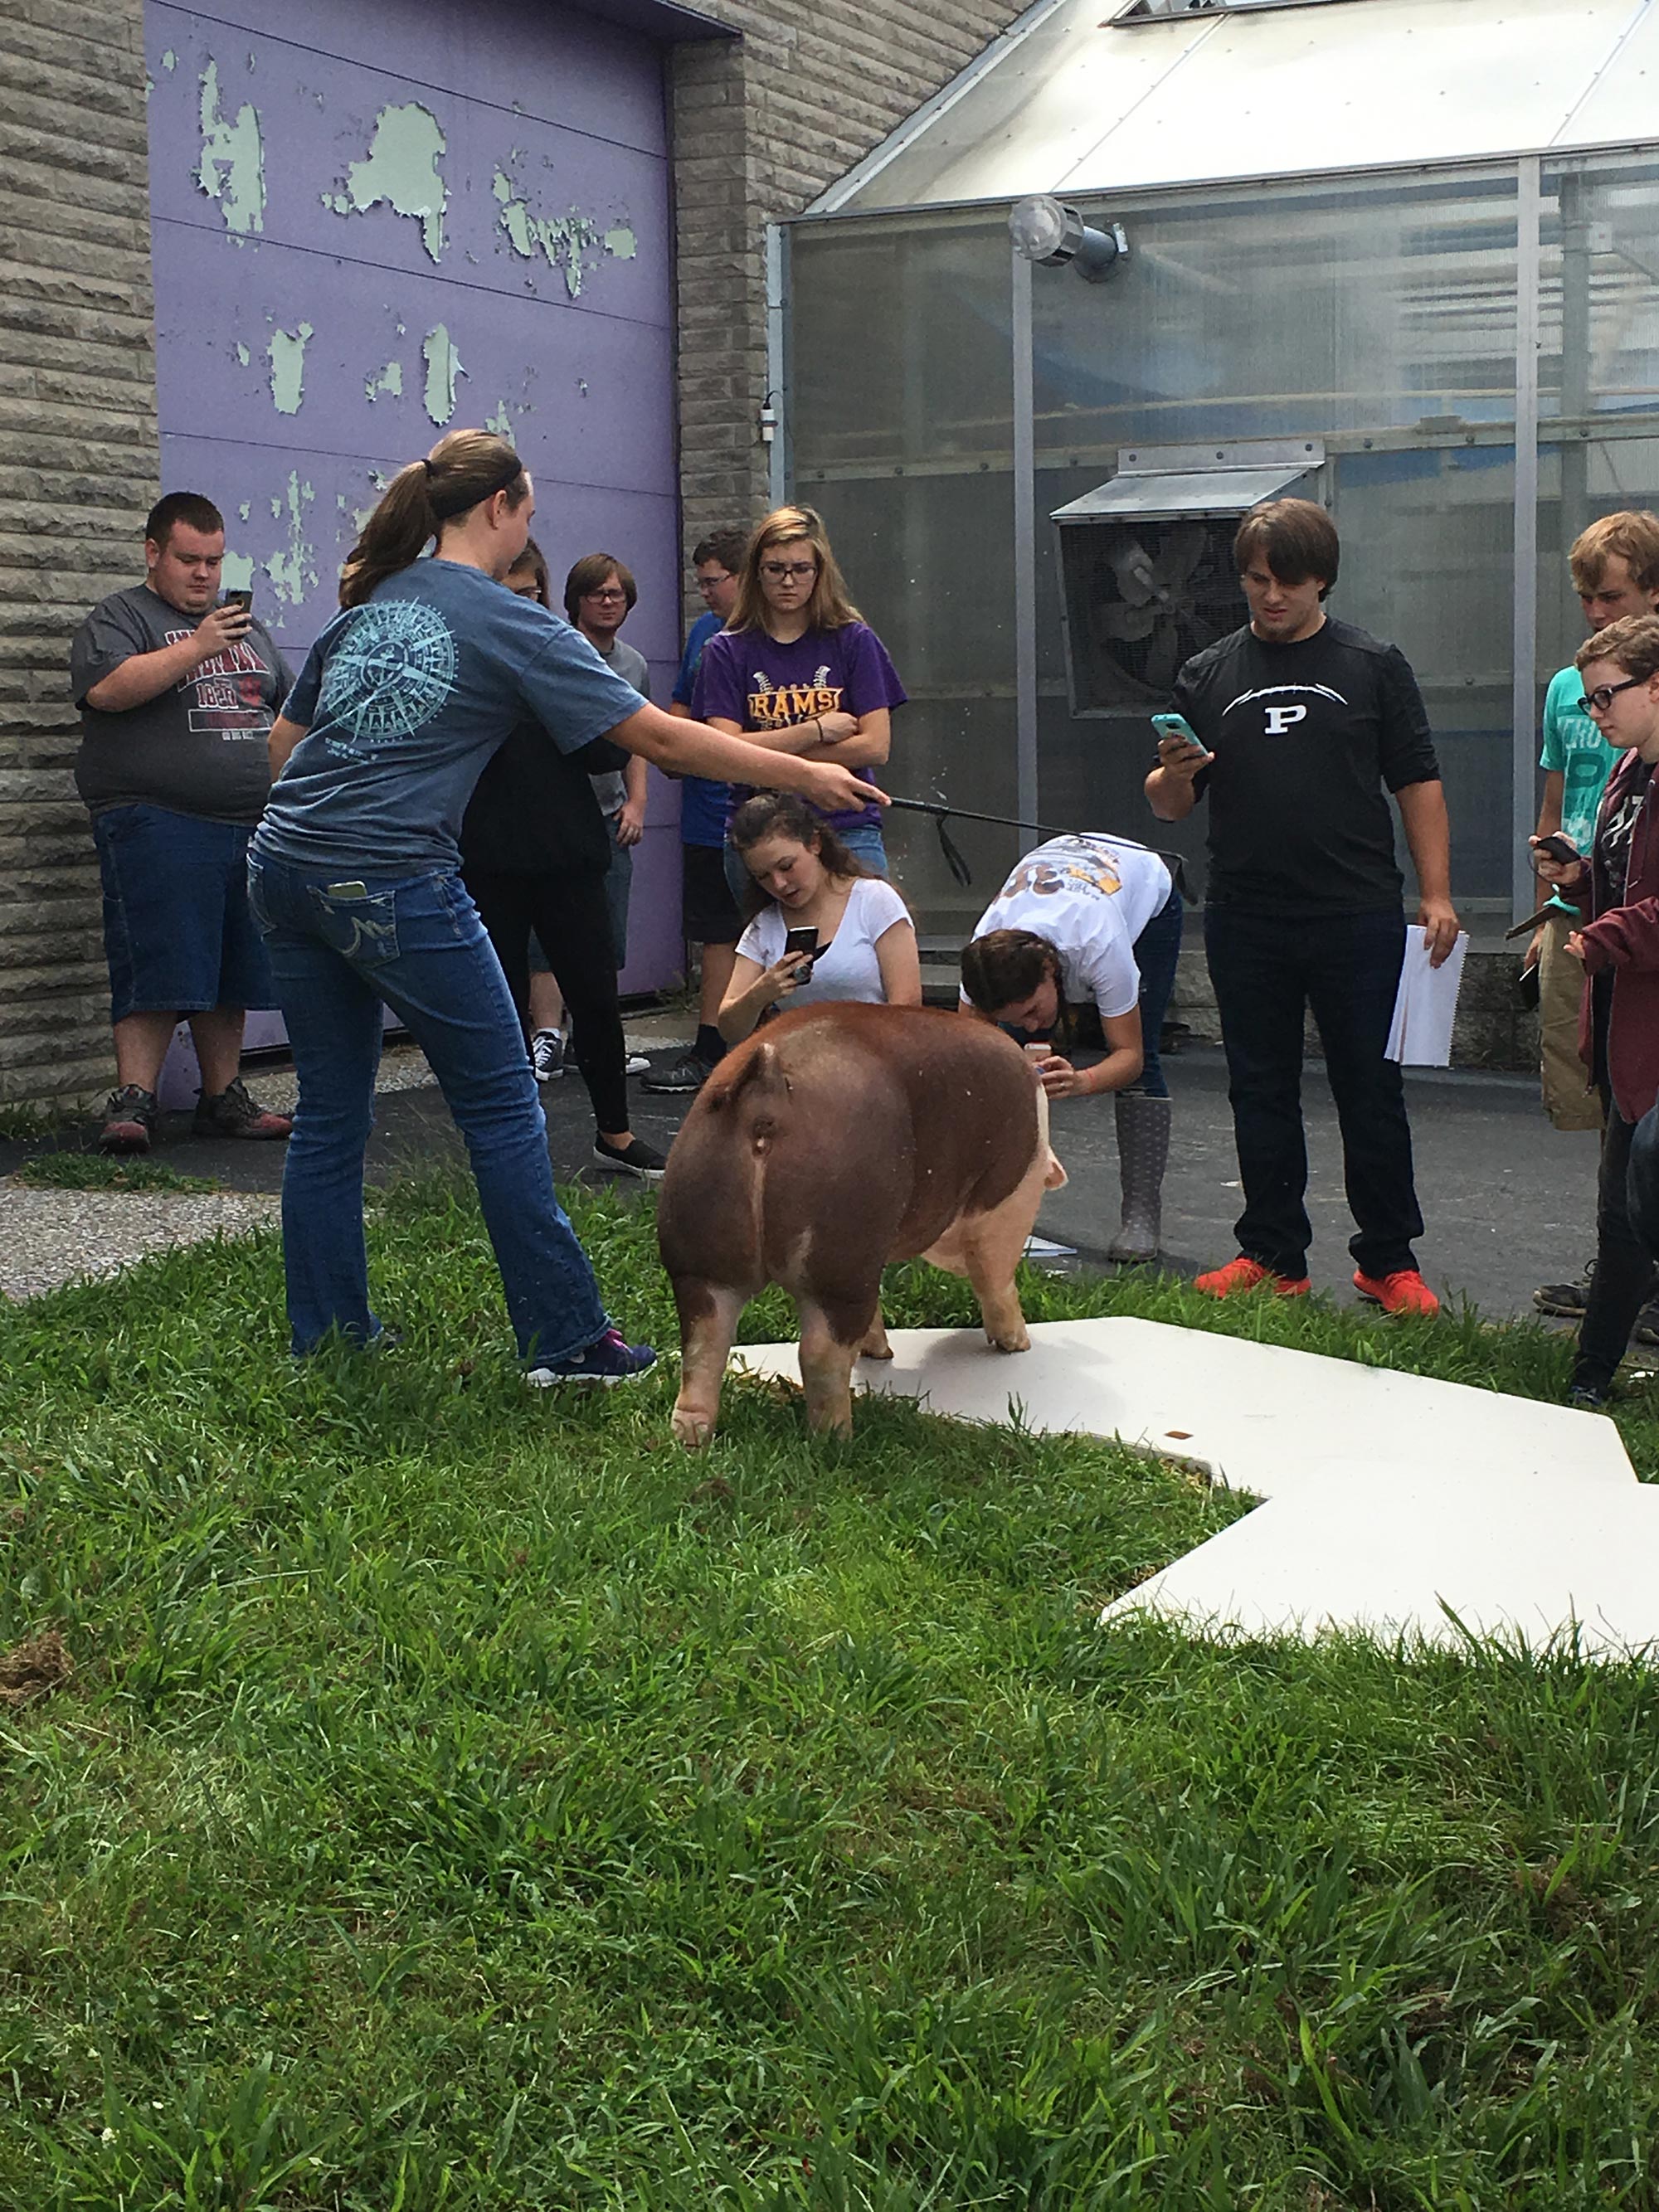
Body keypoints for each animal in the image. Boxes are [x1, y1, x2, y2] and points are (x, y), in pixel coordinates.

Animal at [654, 1004, 1070, 1451]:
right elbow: (998, 1280)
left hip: (698, 1246)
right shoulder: (1004, 1211)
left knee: (703, 1340)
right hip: (841, 1246)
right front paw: (1018, 1346)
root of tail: (769, 1086)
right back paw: (837, 1439)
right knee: (819, 1351)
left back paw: (690, 1440)